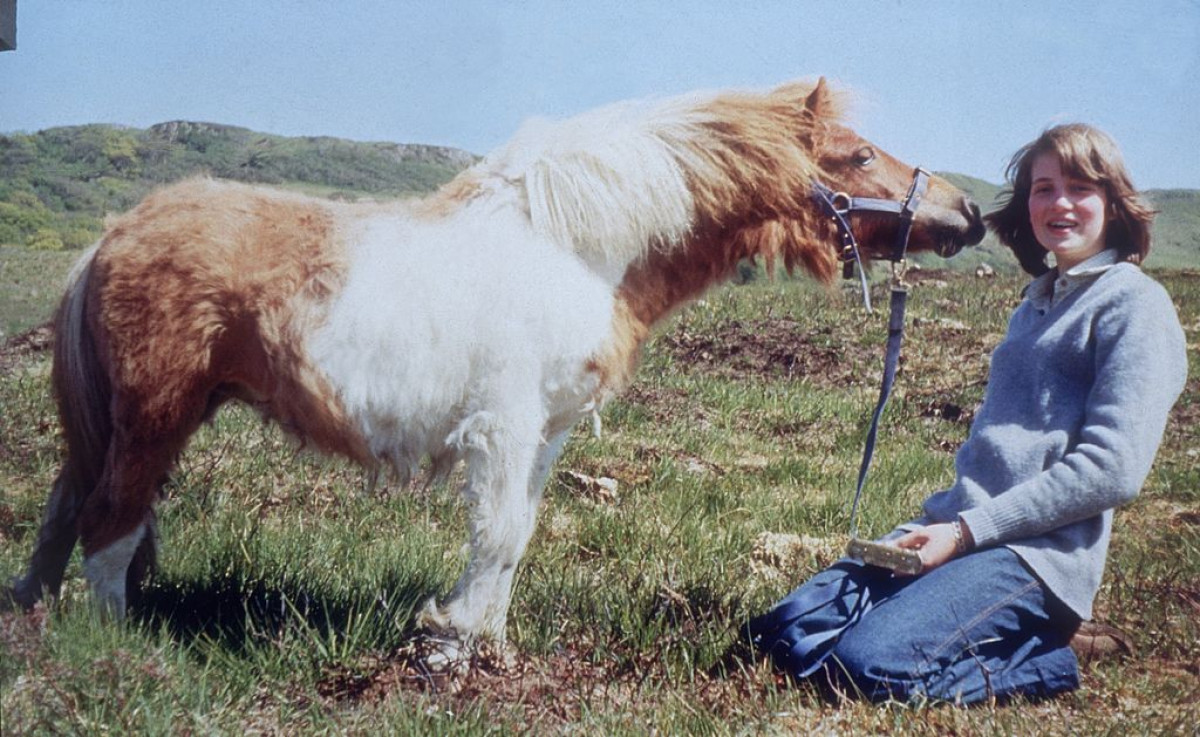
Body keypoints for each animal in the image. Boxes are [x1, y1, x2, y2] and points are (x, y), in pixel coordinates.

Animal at [7, 79, 984, 657]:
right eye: (858, 156)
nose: (968, 213)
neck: (572, 248)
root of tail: (112, 235)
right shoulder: (504, 426)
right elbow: (501, 533)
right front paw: (454, 645)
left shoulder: (544, 433)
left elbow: (516, 534)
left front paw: (485, 640)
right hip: (155, 419)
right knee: (109, 527)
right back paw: (113, 644)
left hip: (115, 428)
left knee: (62, 516)